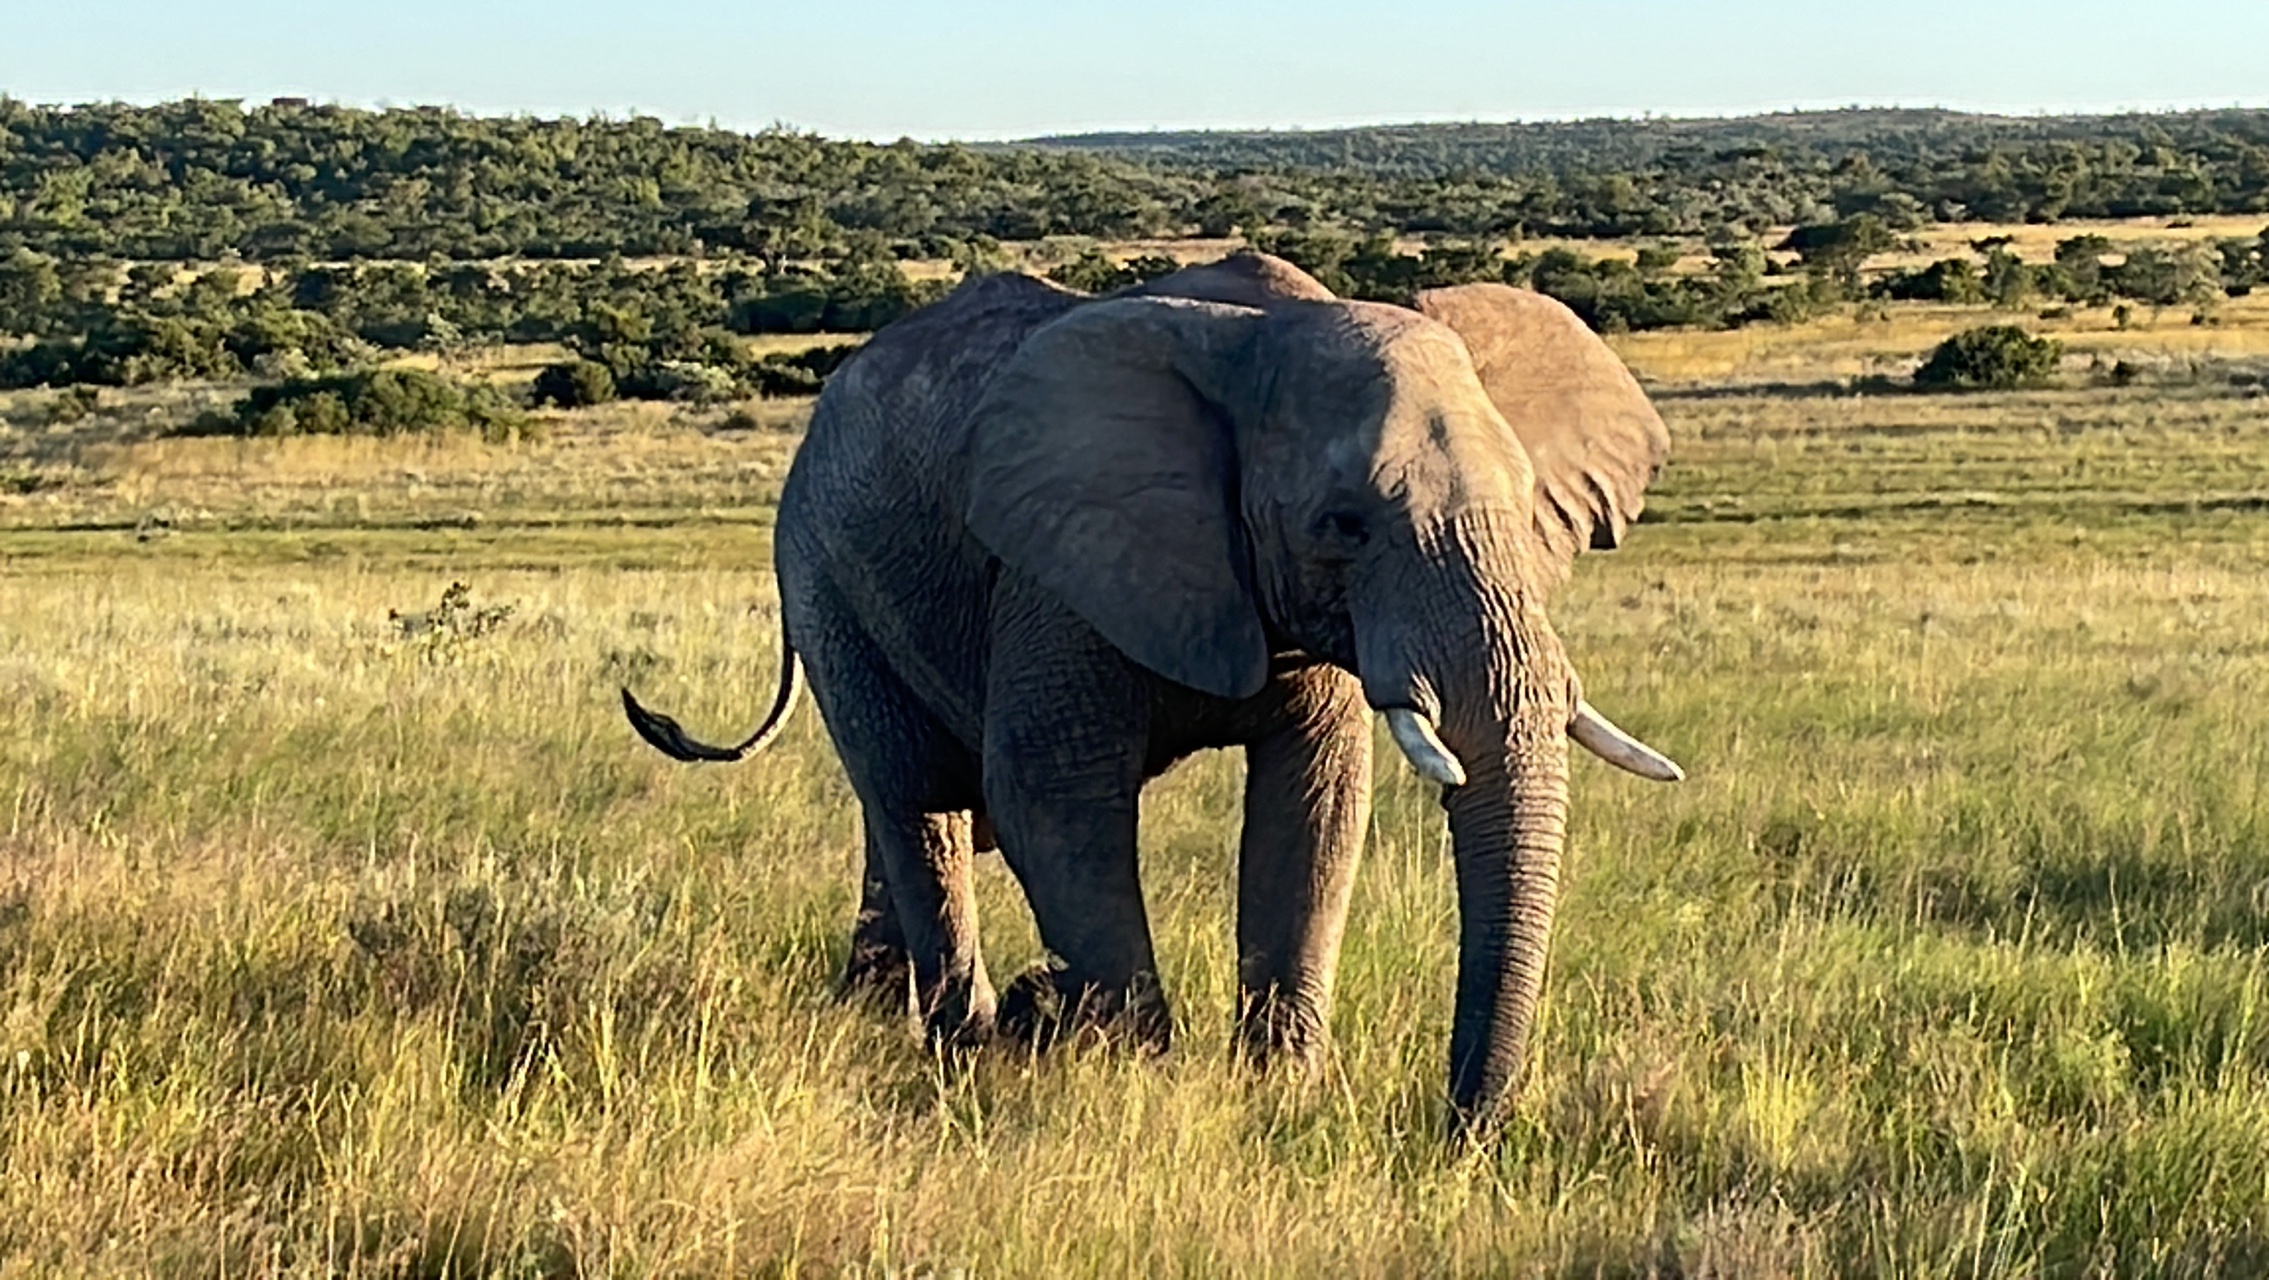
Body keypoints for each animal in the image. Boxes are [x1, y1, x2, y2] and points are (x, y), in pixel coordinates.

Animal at [623, 252, 1683, 1135]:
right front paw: (1135, 1082)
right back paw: (962, 1046)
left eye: (1526, 505)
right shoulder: (1056, 563)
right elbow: (1051, 797)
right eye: (1341, 525)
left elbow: (1313, 806)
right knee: (912, 797)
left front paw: (1275, 1094)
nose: (1459, 1128)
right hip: (825, 574)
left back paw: (880, 1011)